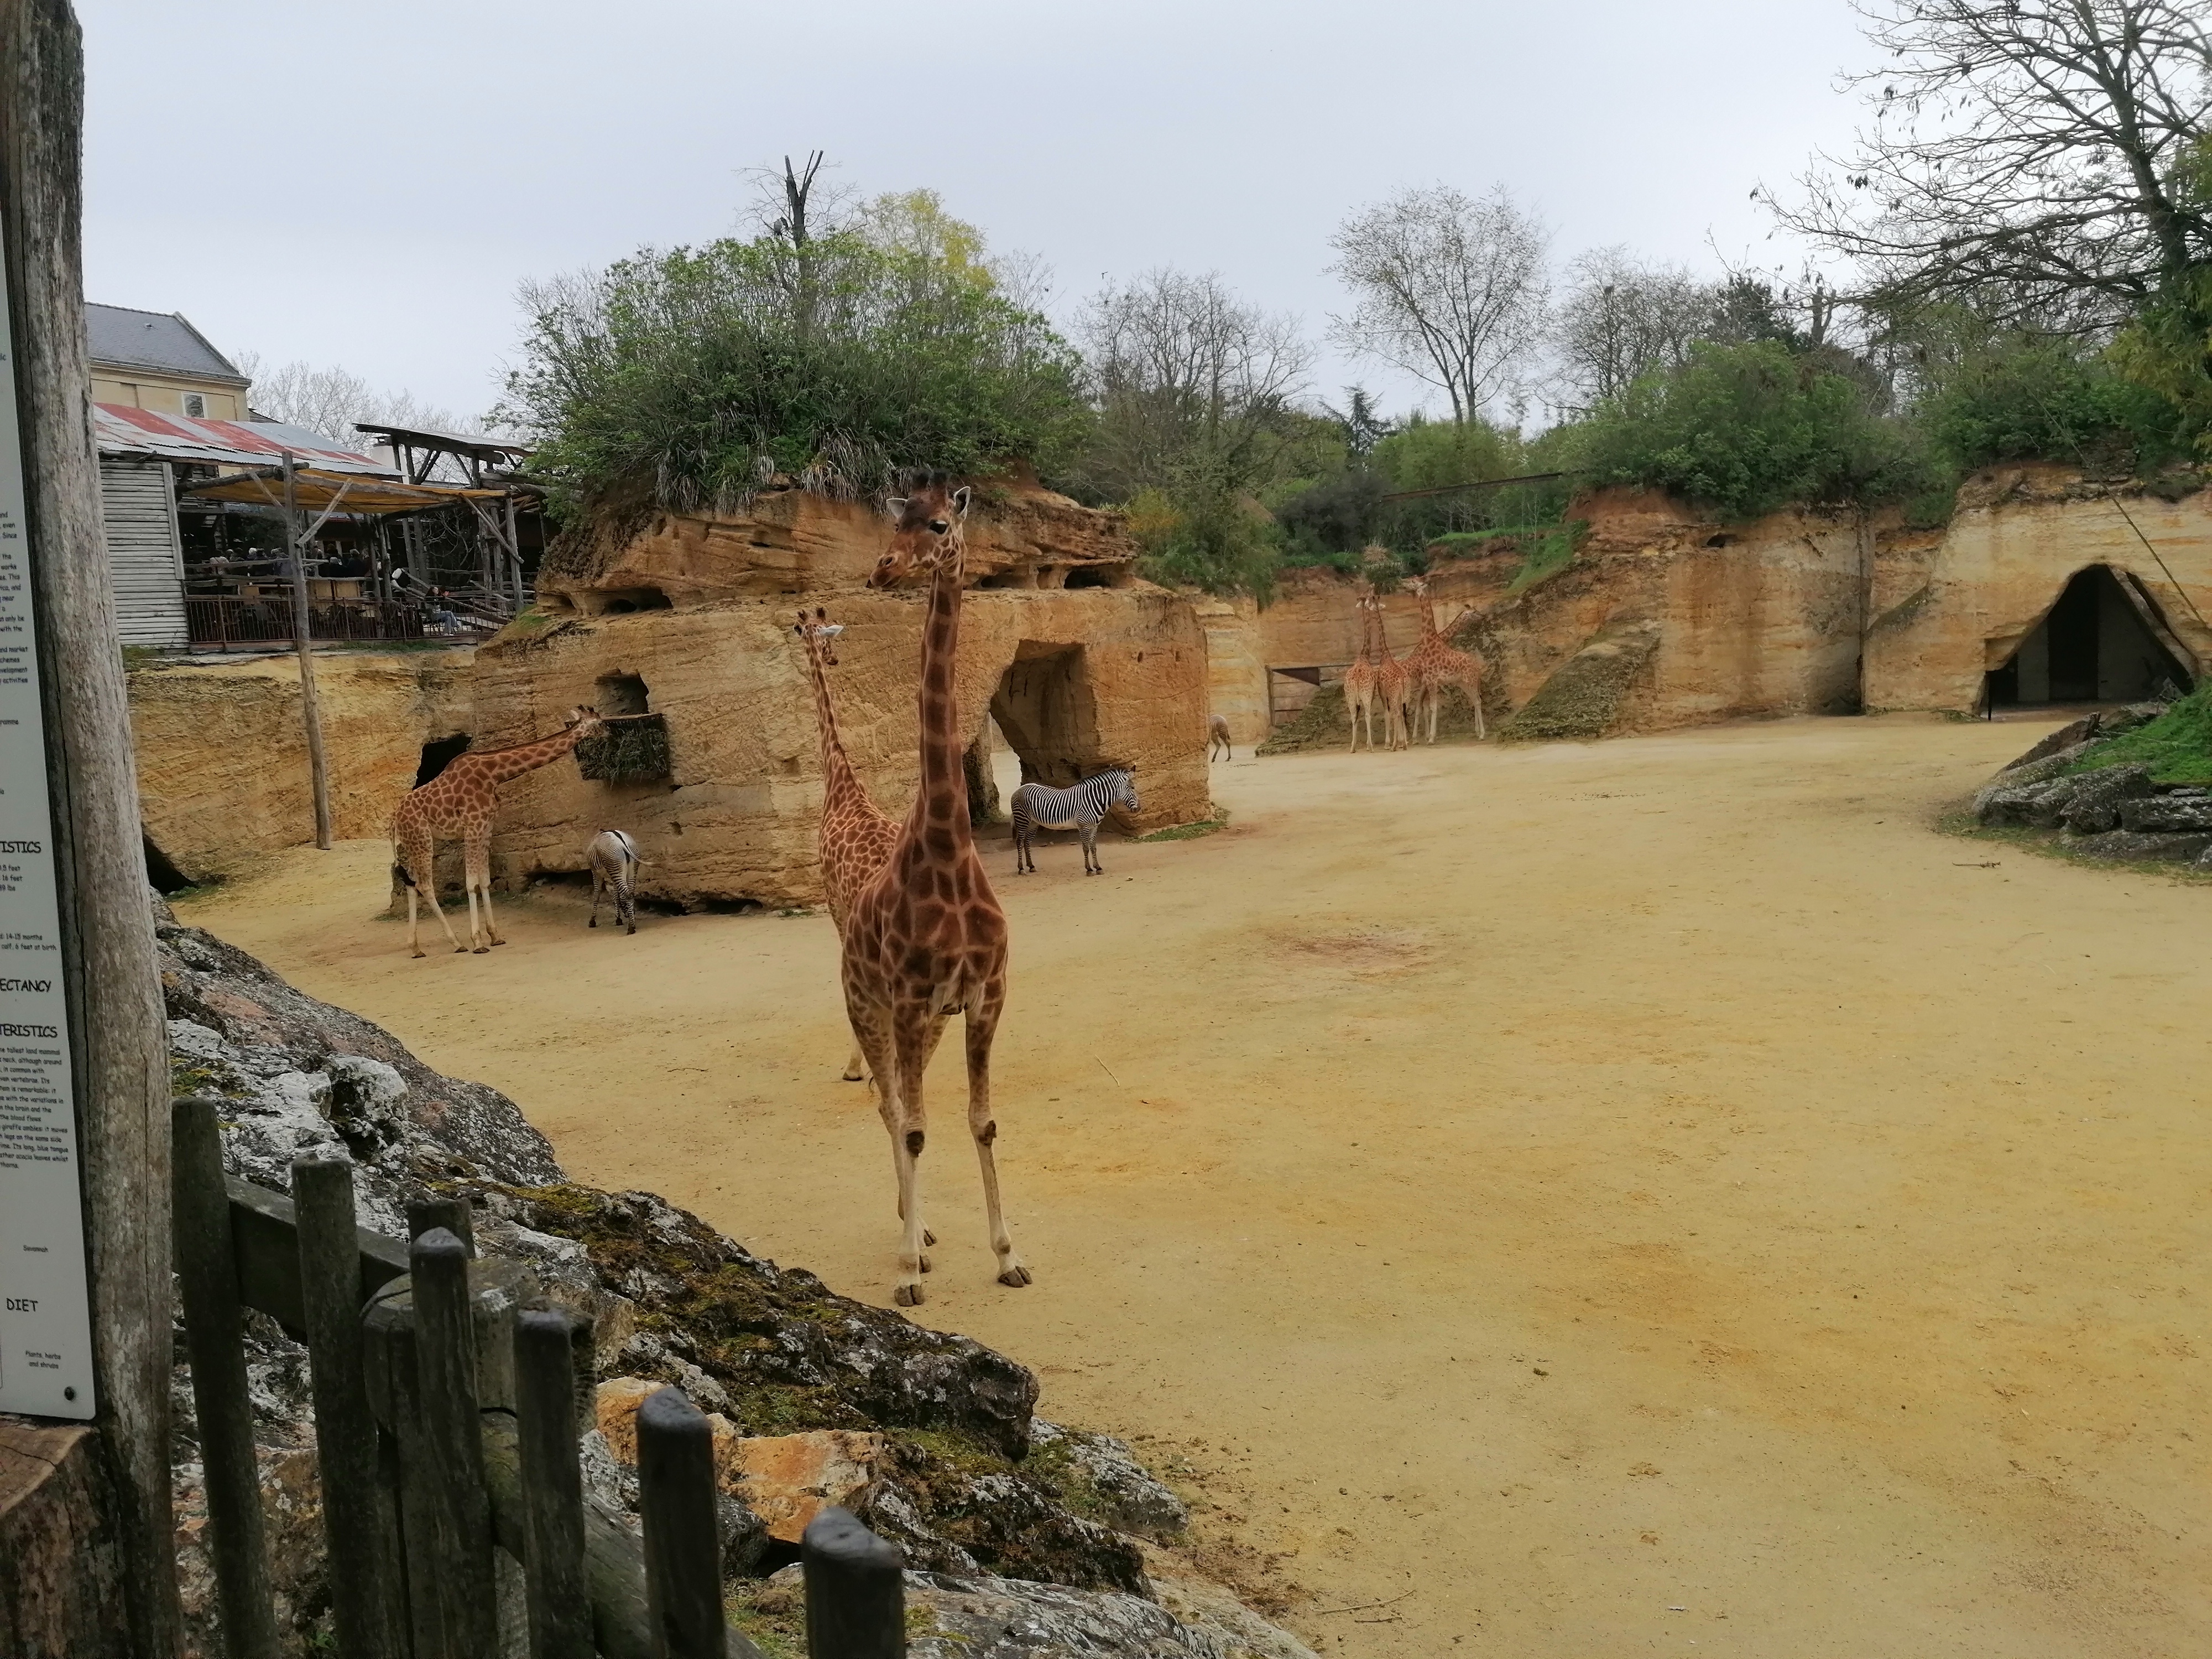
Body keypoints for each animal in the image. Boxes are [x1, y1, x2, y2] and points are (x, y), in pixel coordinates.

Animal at [390, 706, 603, 958]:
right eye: (600, 723)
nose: (609, 733)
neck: (494, 775)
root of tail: (394, 818)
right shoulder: (473, 825)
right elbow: (471, 882)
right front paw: (478, 942)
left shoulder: (487, 826)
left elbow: (484, 880)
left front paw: (495, 936)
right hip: (422, 840)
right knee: (425, 885)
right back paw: (457, 943)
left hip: (414, 842)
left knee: (412, 884)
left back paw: (416, 948)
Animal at [1404, 575, 1487, 742]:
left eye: (1413, 582)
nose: (1402, 582)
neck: (1429, 642)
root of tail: (1476, 665)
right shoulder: (1429, 681)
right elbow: (1427, 708)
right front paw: (1428, 736)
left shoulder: (1431, 680)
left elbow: (1430, 707)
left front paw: (1430, 737)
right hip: (1463, 682)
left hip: (1468, 681)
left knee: (1477, 700)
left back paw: (1481, 734)